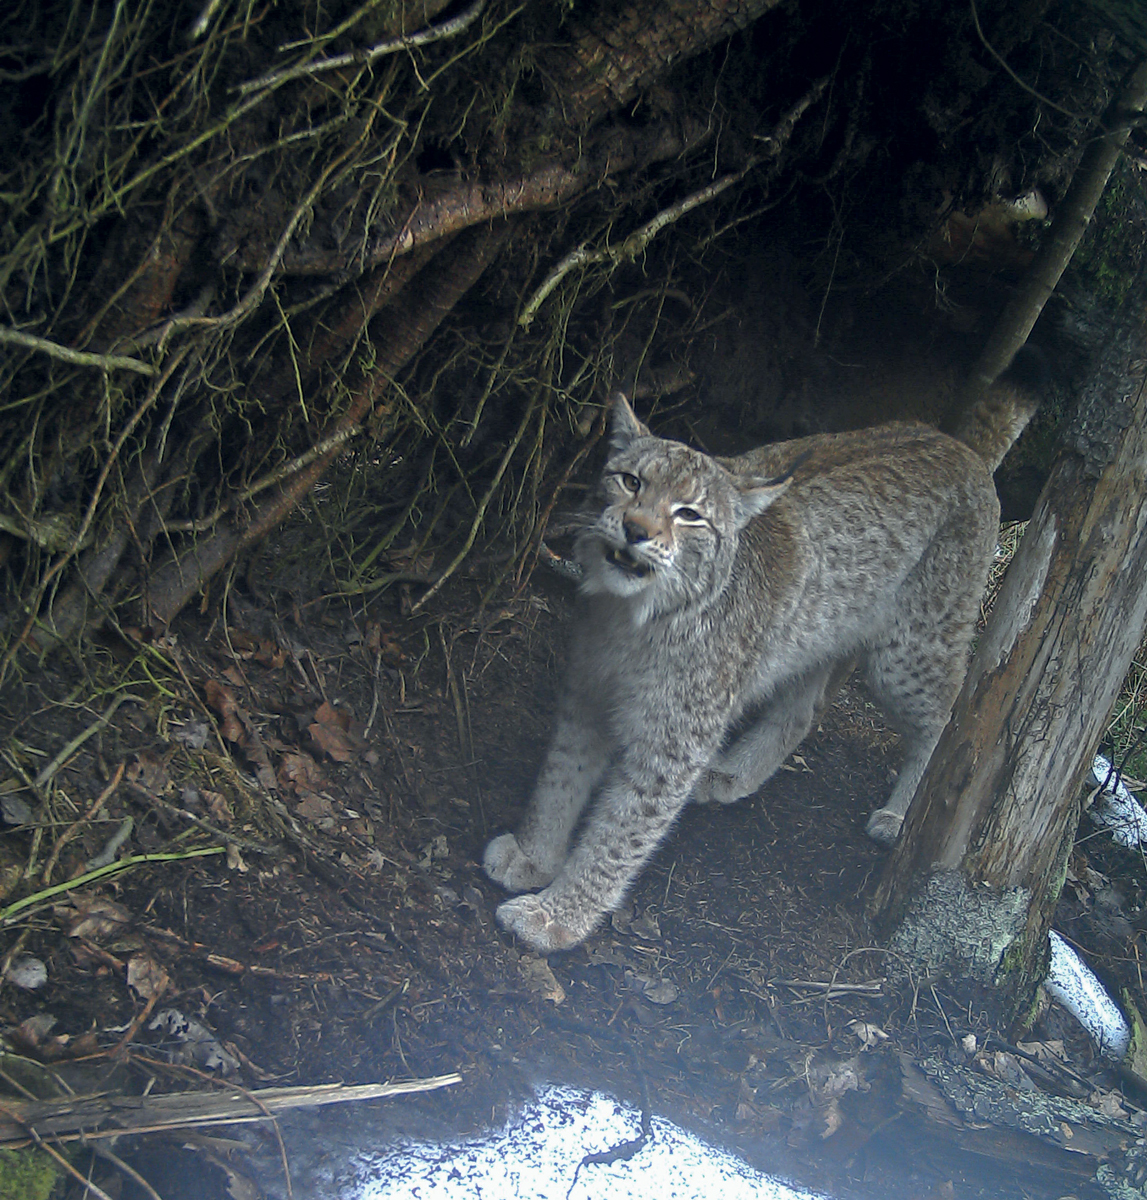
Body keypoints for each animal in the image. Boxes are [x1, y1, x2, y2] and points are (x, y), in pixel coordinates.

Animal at [484, 367, 1039, 953]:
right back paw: (734, 774)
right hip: (811, 632)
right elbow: (559, 778)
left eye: (690, 516)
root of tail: (957, 446)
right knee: (803, 711)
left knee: (948, 718)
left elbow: (619, 835)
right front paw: (534, 854)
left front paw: (559, 916)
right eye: (630, 481)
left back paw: (901, 812)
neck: (633, 616)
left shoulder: (672, 744)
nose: (636, 530)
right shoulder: (587, 689)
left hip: (907, 653)